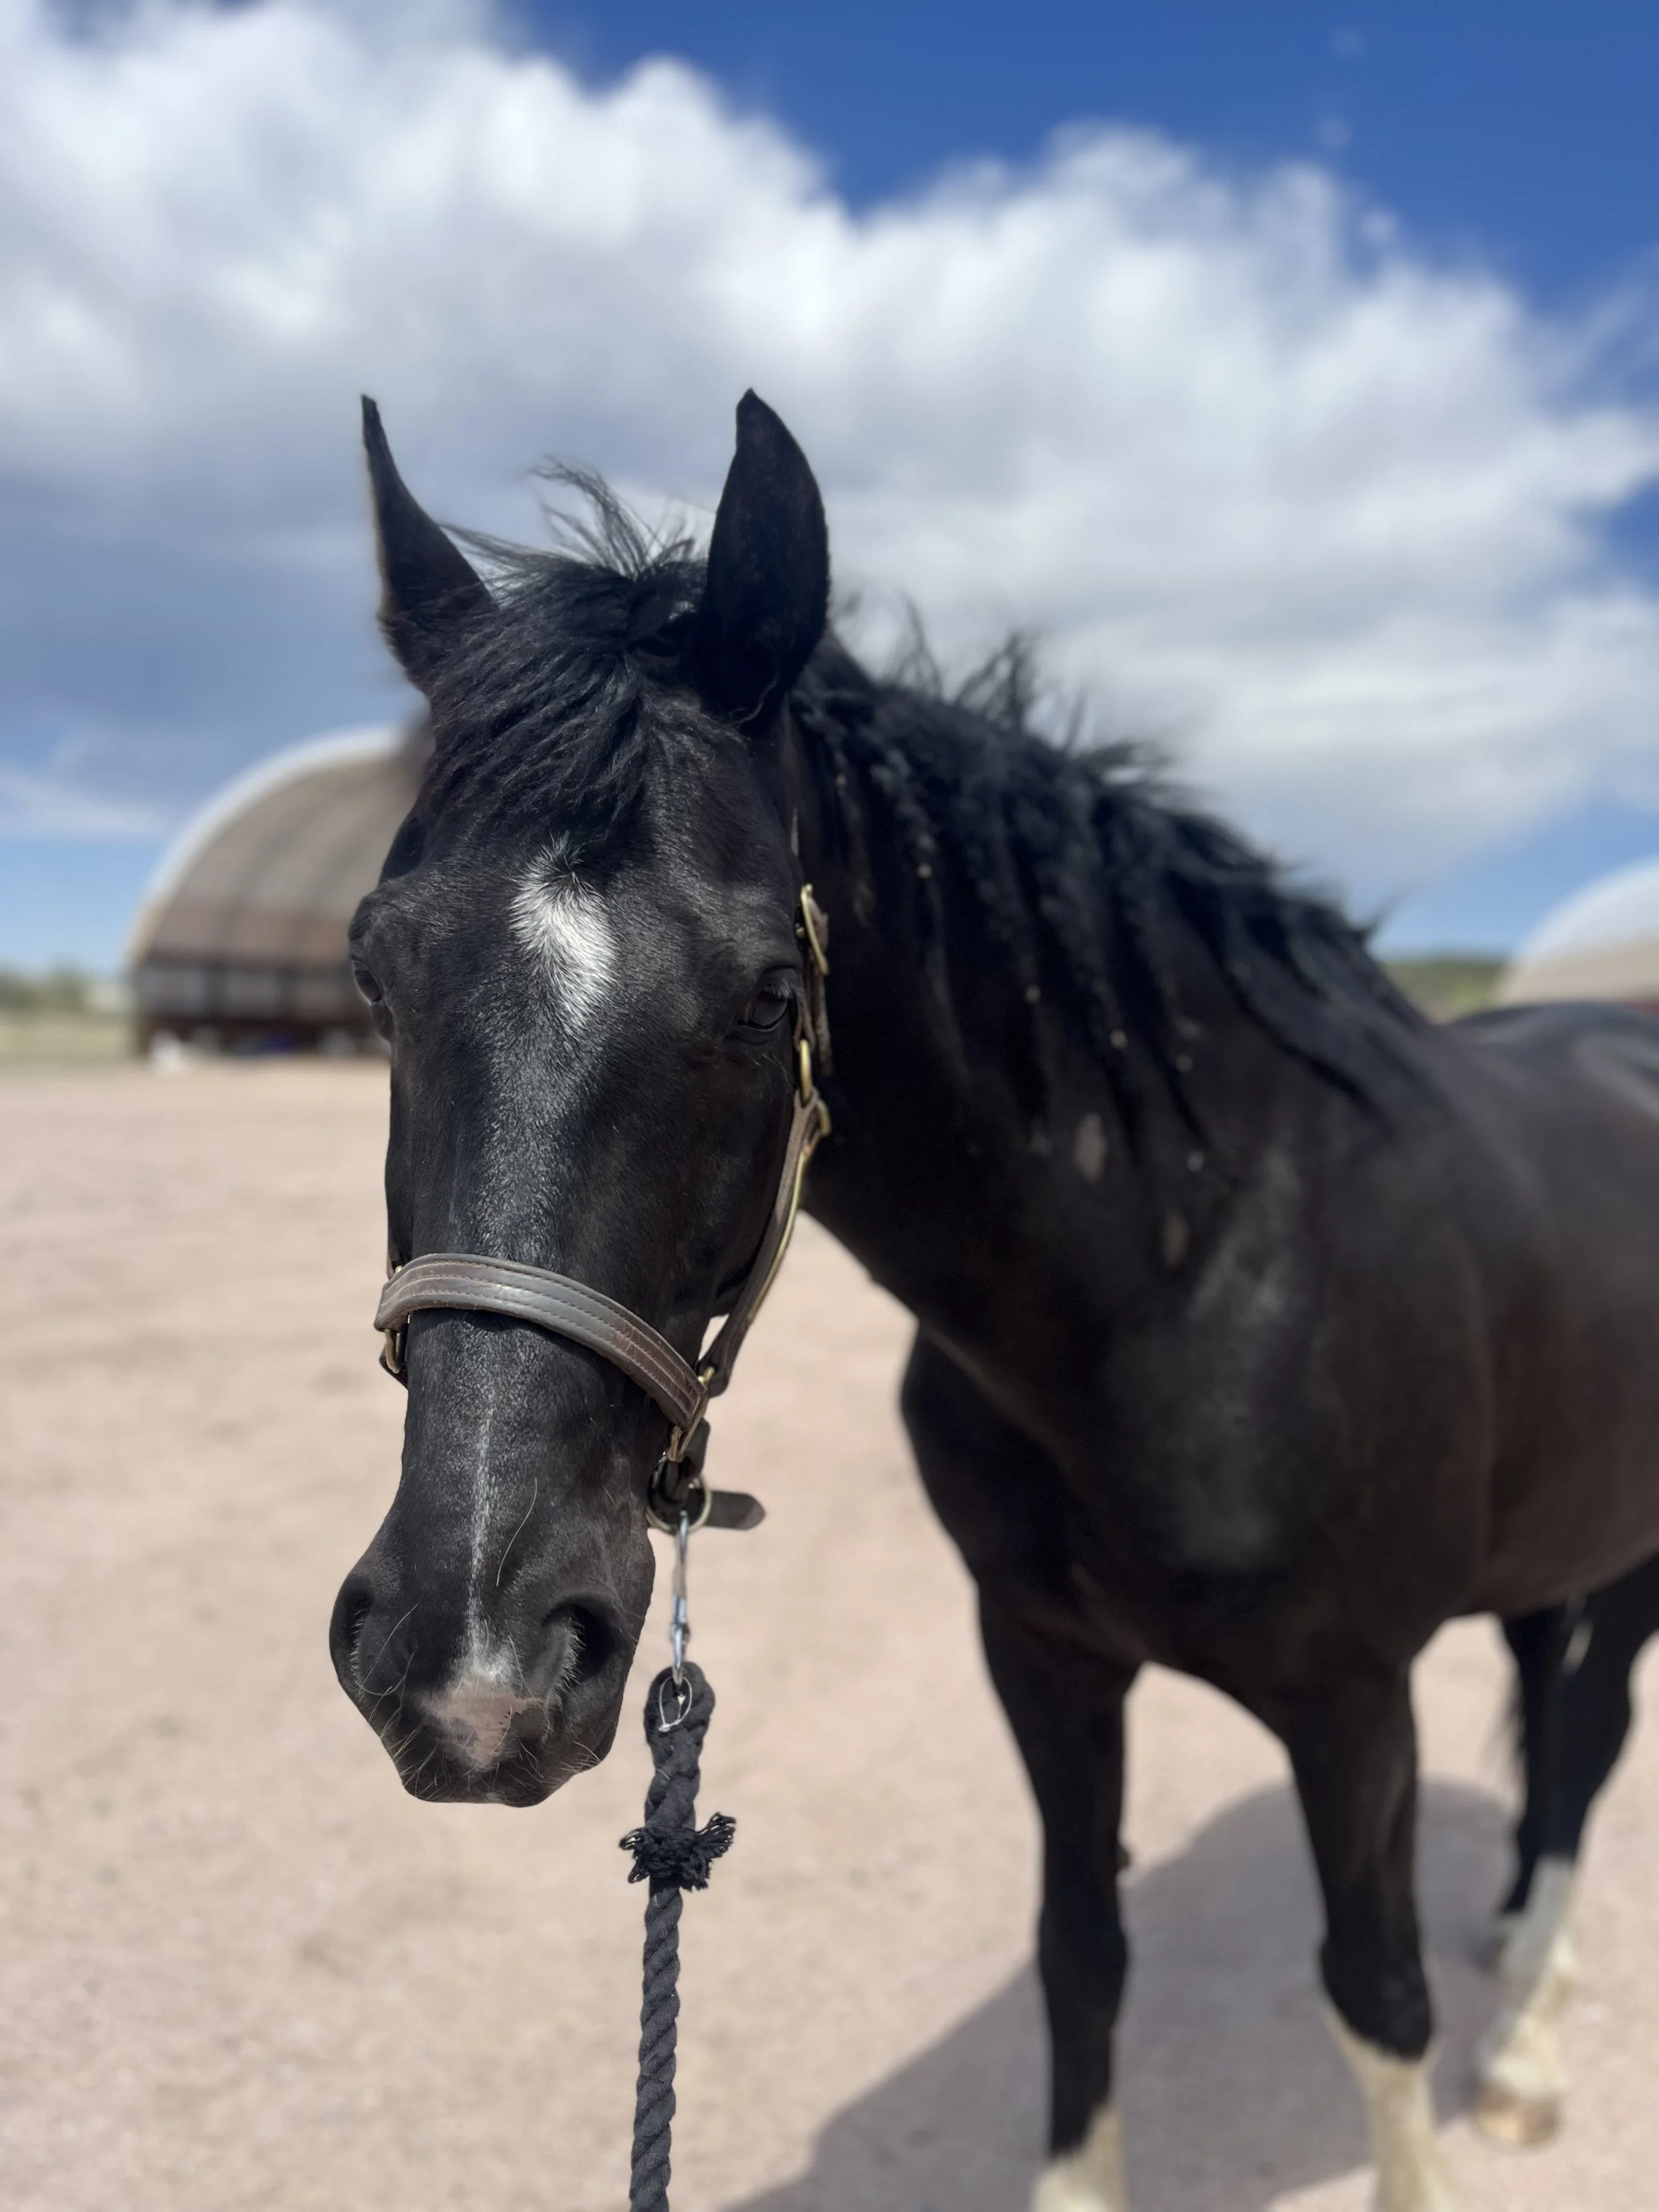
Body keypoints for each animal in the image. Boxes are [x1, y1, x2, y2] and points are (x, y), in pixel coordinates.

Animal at [330, 389, 1659, 2212]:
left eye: (768, 993)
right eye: (373, 968)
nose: (471, 1665)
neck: (1189, 1276)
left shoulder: (1352, 1703)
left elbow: (1374, 1997)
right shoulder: (1040, 1658)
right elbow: (1078, 1953)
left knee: (1588, 1737)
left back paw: (1524, 2039)